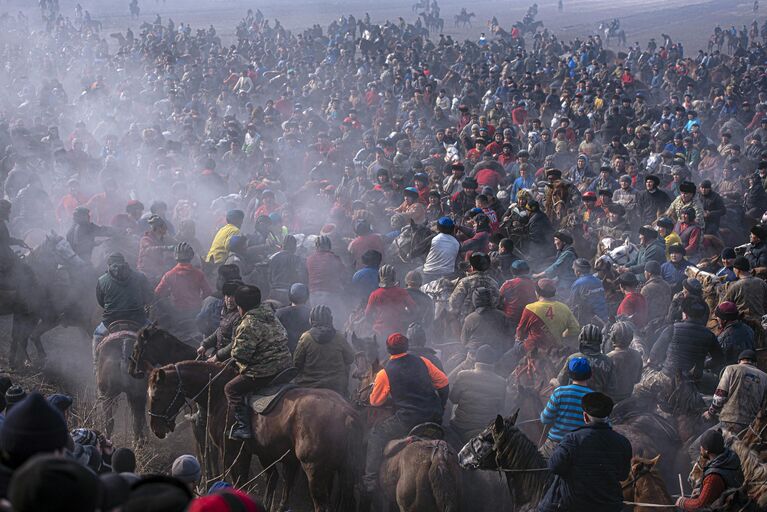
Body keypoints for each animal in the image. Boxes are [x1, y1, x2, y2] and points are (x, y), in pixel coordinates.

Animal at [147, 360, 364, 512]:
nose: (156, 428)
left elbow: (240, 483)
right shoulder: (270, 455)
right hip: (344, 472)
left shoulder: (232, 453)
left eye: (156, 395)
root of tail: (347, 413)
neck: (218, 393)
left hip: (315, 471)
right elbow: (276, 487)